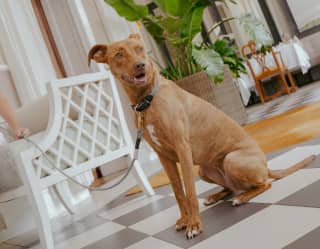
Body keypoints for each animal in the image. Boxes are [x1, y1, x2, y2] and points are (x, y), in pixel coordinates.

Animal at [89, 34, 316, 238]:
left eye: (140, 49)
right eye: (119, 53)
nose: (140, 65)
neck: (148, 99)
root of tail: (266, 167)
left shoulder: (182, 150)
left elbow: (190, 193)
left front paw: (194, 225)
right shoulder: (164, 157)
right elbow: (178, 193)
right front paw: (184, 220)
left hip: (232, 160)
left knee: (263, 184)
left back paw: (242, 198)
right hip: (204, 170)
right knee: (230, 187)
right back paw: (216, 195)